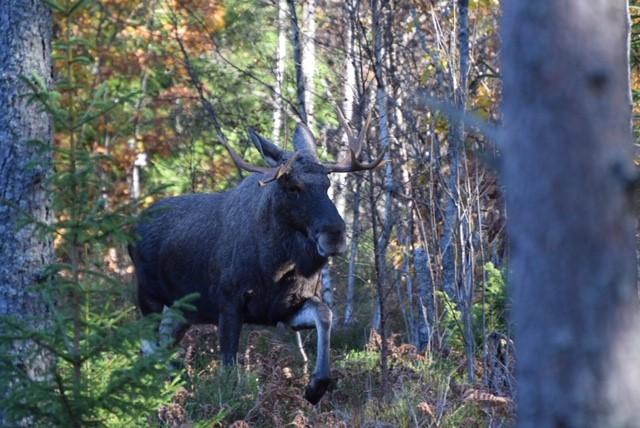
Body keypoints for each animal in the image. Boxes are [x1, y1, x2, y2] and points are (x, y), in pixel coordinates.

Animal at [128, 112, 382, 402]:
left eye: (327, 184)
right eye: (293, 187)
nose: (335, 234)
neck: (276, 266)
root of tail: (131, 230)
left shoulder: (285, 309)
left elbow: (325, 314)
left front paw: (316, 385)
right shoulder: (228, 302)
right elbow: (228, 368)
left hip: (182, 313)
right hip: (149, 297)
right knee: (149, 349)